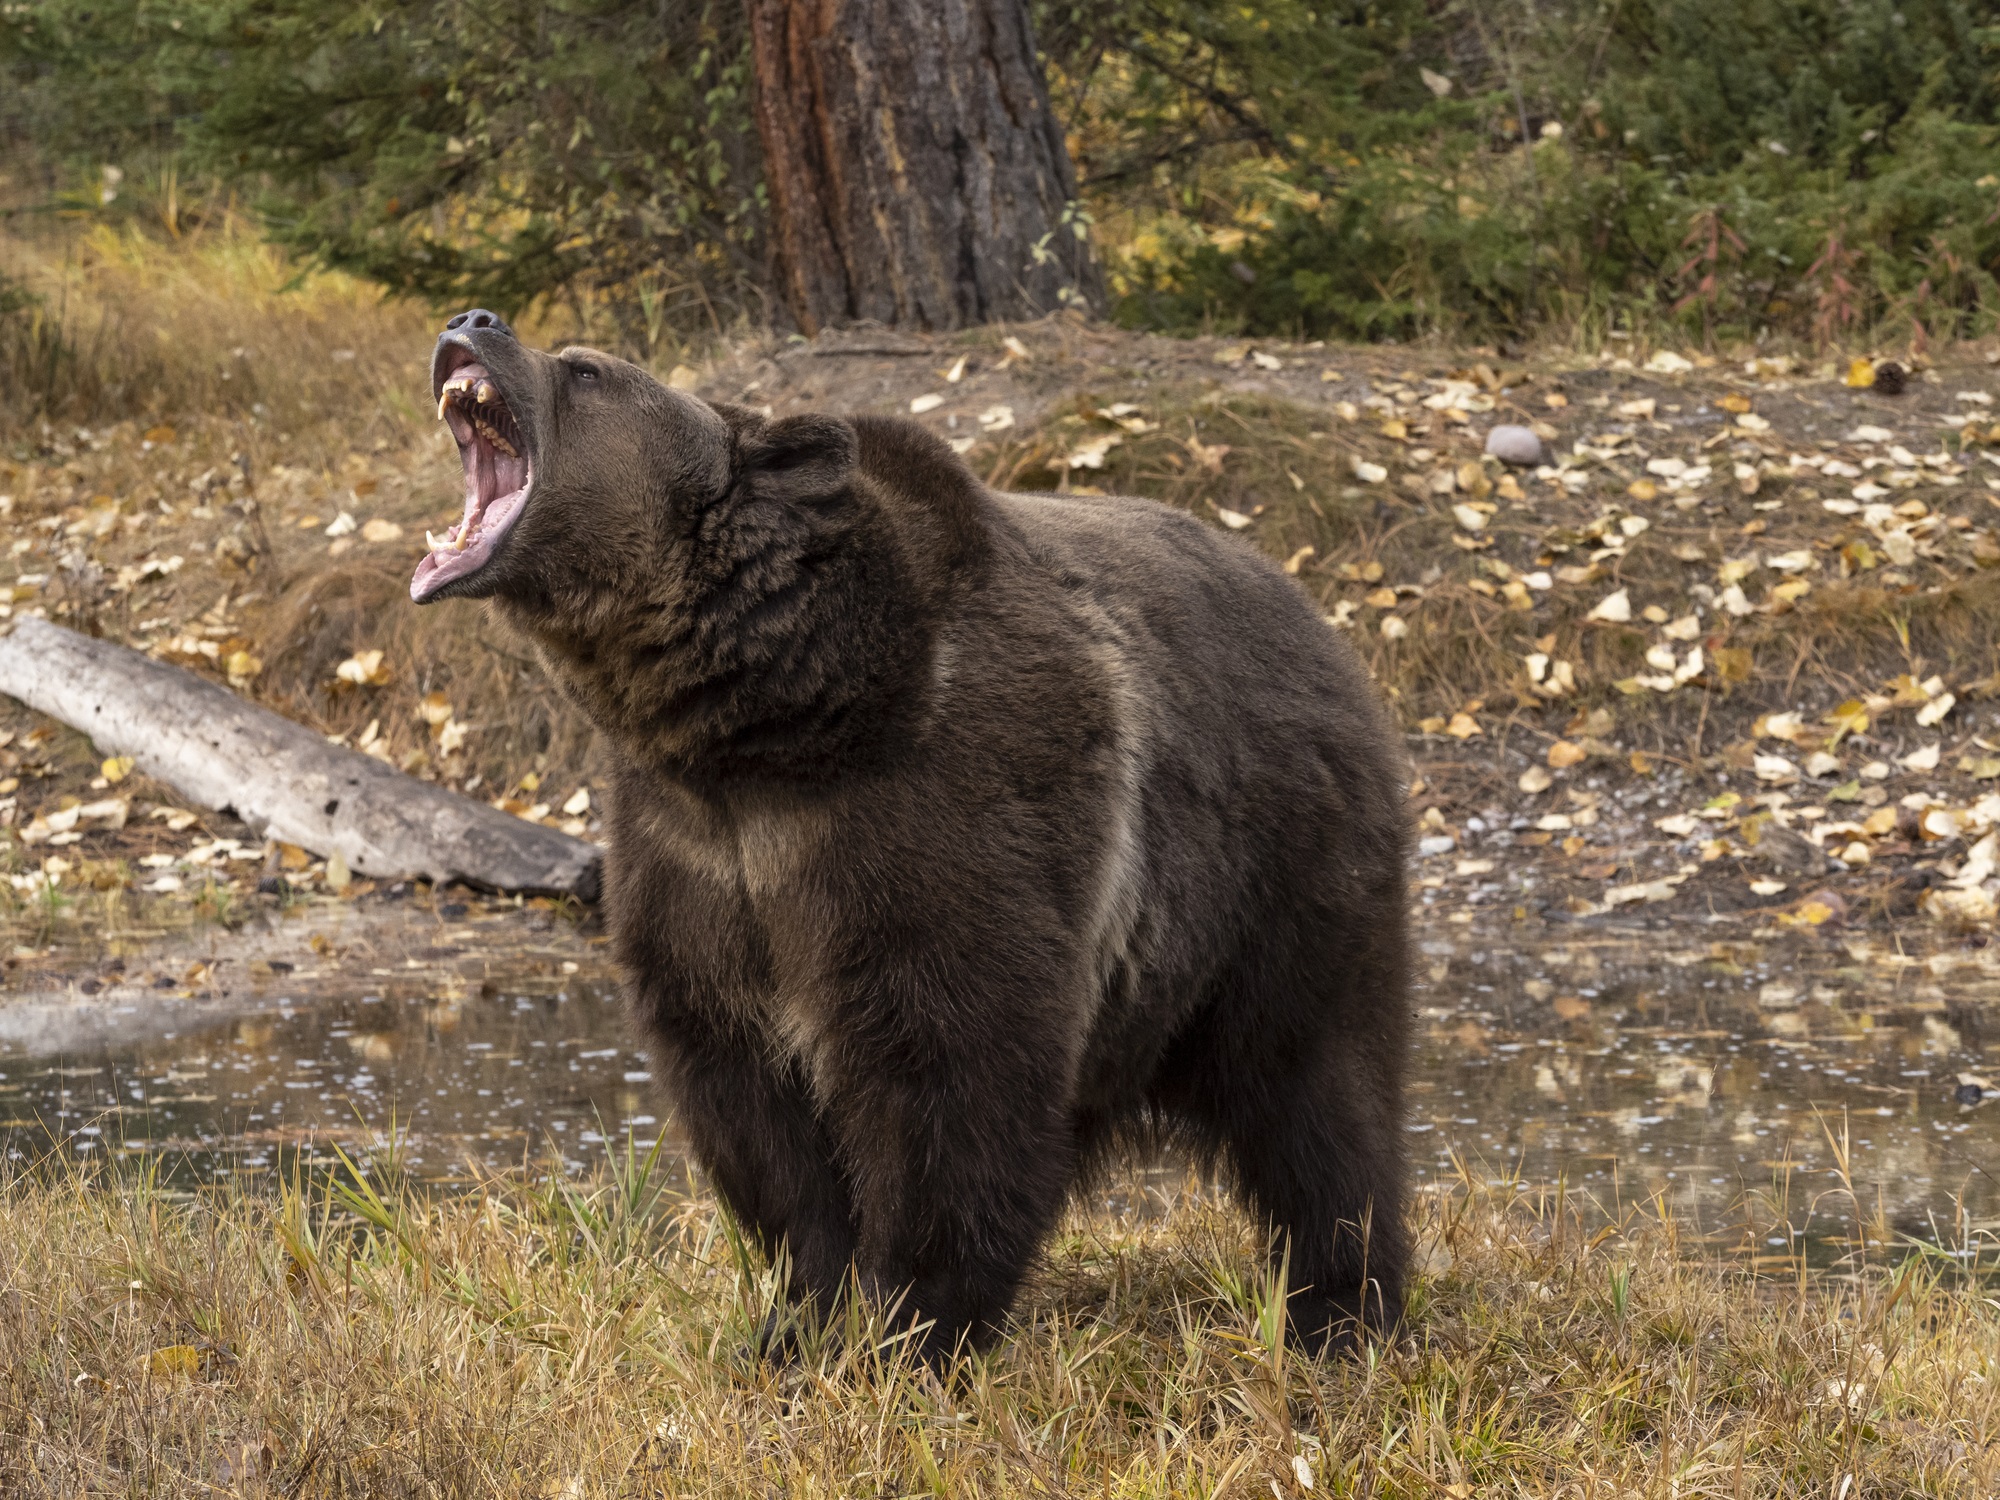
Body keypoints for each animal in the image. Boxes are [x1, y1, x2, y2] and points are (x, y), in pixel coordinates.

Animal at [413, 309, 1412, 1362]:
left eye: (587, 371)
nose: (474, 320)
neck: (764, 726)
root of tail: (1319, 616)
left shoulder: (932, 818)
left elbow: (950, 1075)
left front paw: (911, 1329)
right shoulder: (697, 861)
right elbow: (754, 1108)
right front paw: (797, 1322)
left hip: (1278, 873)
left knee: (1316, 1091)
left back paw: (1341, 1307)